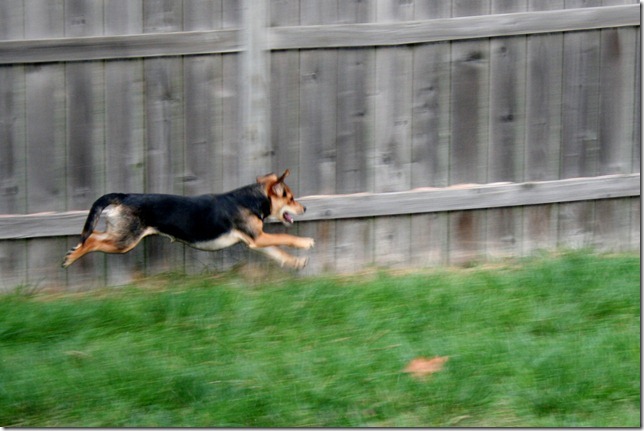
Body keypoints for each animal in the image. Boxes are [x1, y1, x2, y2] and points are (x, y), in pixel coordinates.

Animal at [62, 170, 315, 269]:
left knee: (92, 234)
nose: (304, 207)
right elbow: (284, 237)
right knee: (92, 241)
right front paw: (305, 243)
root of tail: (123, 196)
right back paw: (72, 256)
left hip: (120, 232)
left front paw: (295, 262)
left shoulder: (255, 241)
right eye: (291, 198)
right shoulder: (258, 237)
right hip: (125, 241)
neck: (251, 200)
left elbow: (278, 252)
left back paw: (73, 250)